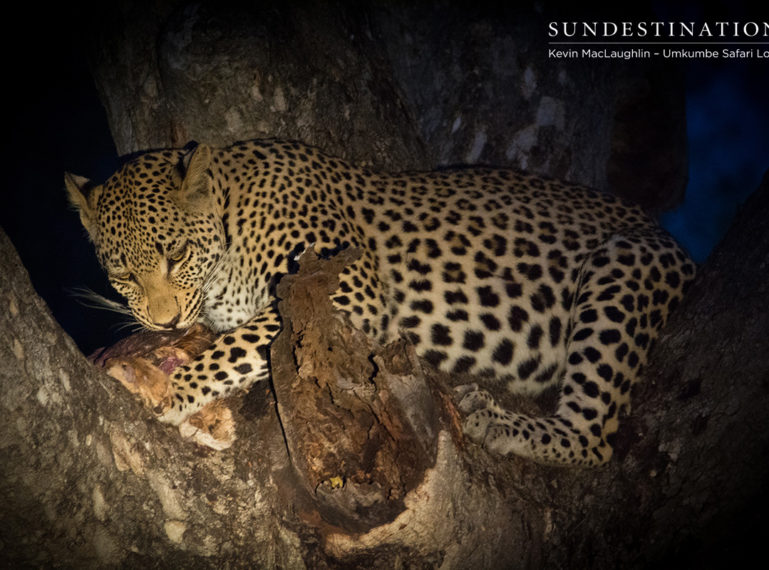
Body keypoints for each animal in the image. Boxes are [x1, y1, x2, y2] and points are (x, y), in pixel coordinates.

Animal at [63, 139, 692, 466]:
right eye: (121, 272)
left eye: (174, 253)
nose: (165, 321)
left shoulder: (346, 283)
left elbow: (237, 346)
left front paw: (174, 394)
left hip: (625, 263)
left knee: (595, 434)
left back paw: (498, 422)